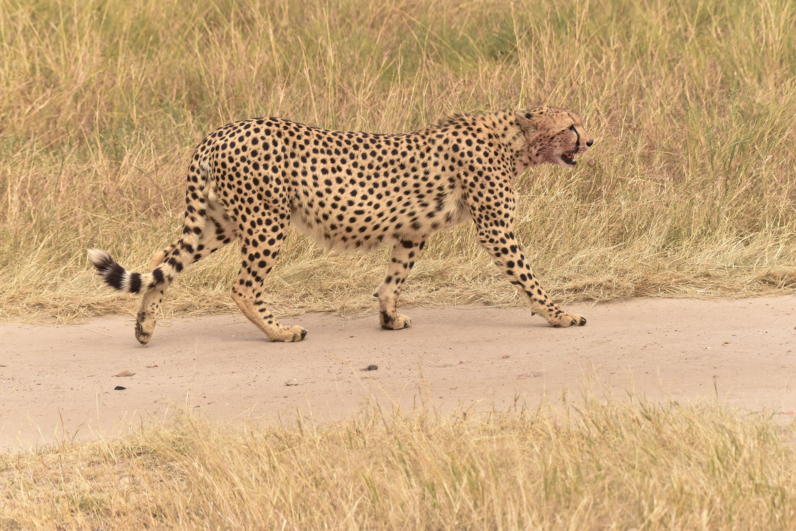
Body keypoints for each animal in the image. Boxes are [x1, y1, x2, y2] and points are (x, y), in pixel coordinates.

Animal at [90, 105, 592, 344]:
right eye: (571, 125)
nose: (590, 141)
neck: (513, 140)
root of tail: (219, 131)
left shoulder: (411, 230)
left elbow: (393, 278)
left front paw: (388, 317)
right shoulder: (496, 228)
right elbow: (529, 278)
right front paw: (561, 315)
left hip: (220, 221)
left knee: (163, 261)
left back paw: (145, 326)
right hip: (266, 222)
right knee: (242, 286)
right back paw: (280, 332)